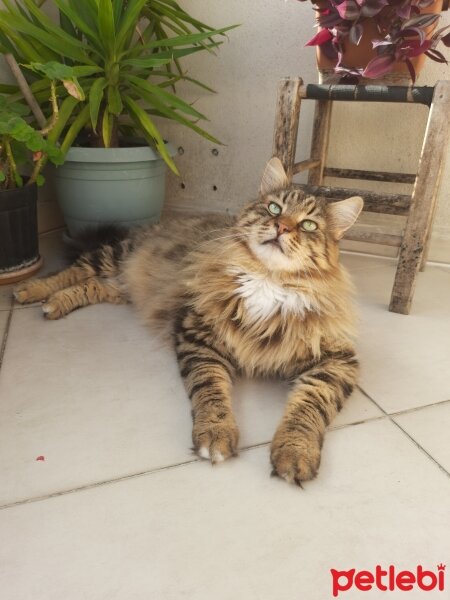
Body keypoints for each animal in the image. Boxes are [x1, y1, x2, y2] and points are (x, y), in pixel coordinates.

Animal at [14, 157, 364, 486]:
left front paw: (295, 452)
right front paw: (216, 434)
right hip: (117, 256)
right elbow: (210, 389)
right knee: (77, 269)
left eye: (308, 225)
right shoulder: (198, 334)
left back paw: (56, 302)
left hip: (121, 285)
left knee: (93, 285)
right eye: (274, 208)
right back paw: (34, 291)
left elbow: (307, 410)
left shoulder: (336, 362)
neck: (267, 281)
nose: (281, 227)